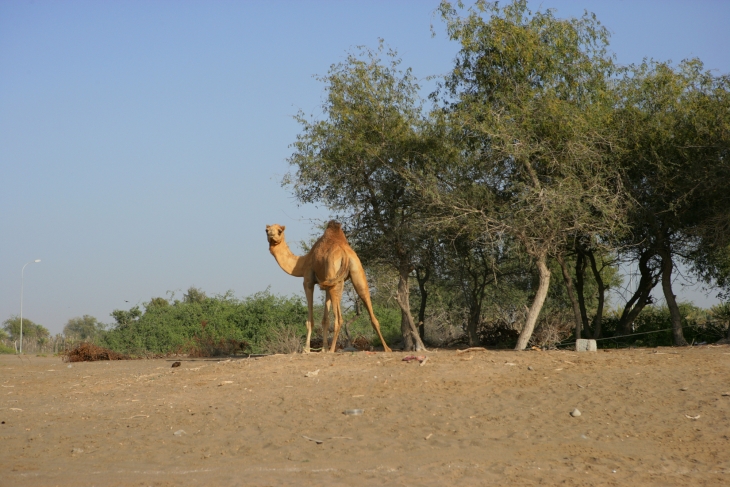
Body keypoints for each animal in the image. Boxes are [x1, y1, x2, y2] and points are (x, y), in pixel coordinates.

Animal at [266, 222, 392, 354]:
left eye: (279, 231)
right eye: (266, 230)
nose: (271, 235)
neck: (302, 262)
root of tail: (345, 253)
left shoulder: (308, 280)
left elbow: (310, 320)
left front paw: (306, 349)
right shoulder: (325, 284)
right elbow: (325, 319)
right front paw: (323, 348)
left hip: (334, 274)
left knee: (339, 318)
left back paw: (332, 350)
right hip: (354, 273)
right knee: (366, 298)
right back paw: (387, 348)